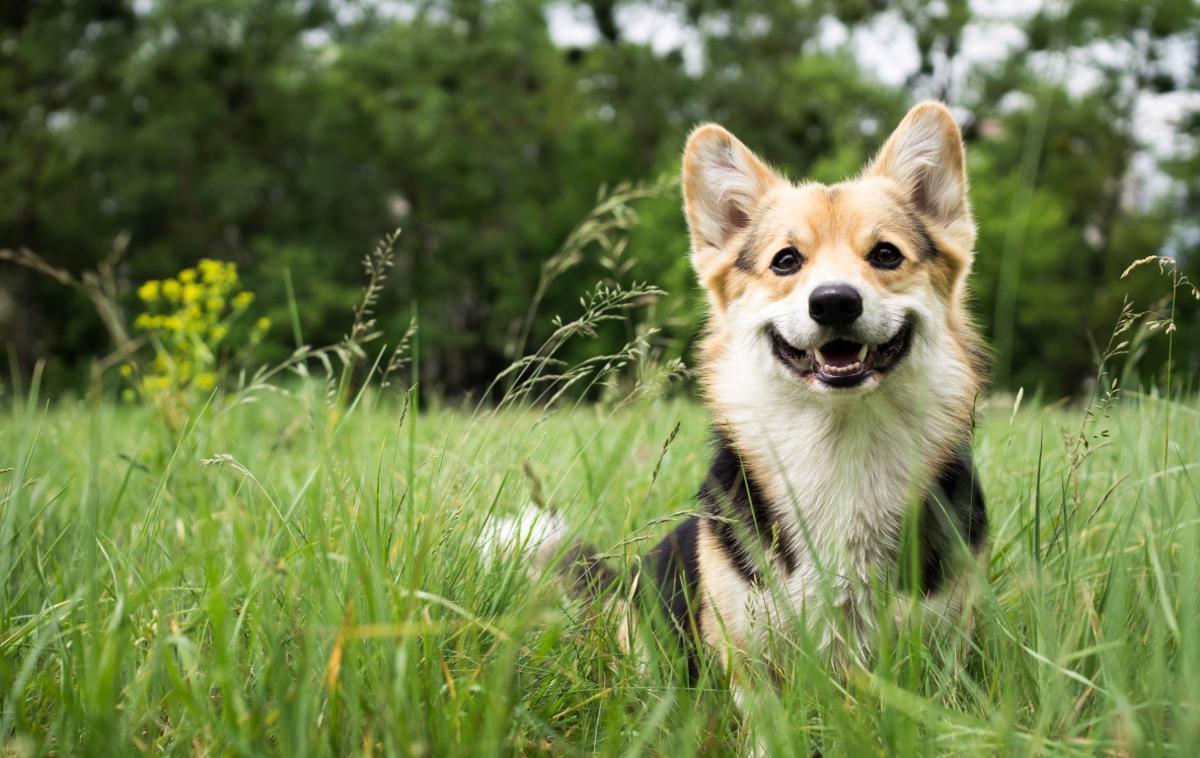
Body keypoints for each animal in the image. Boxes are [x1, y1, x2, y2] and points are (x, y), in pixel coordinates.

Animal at [487, 104, 984, 686]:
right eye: (786, 261)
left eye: (885, 255)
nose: (835, 302)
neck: (840, 439)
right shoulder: (749, 663)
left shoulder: (943, 655)